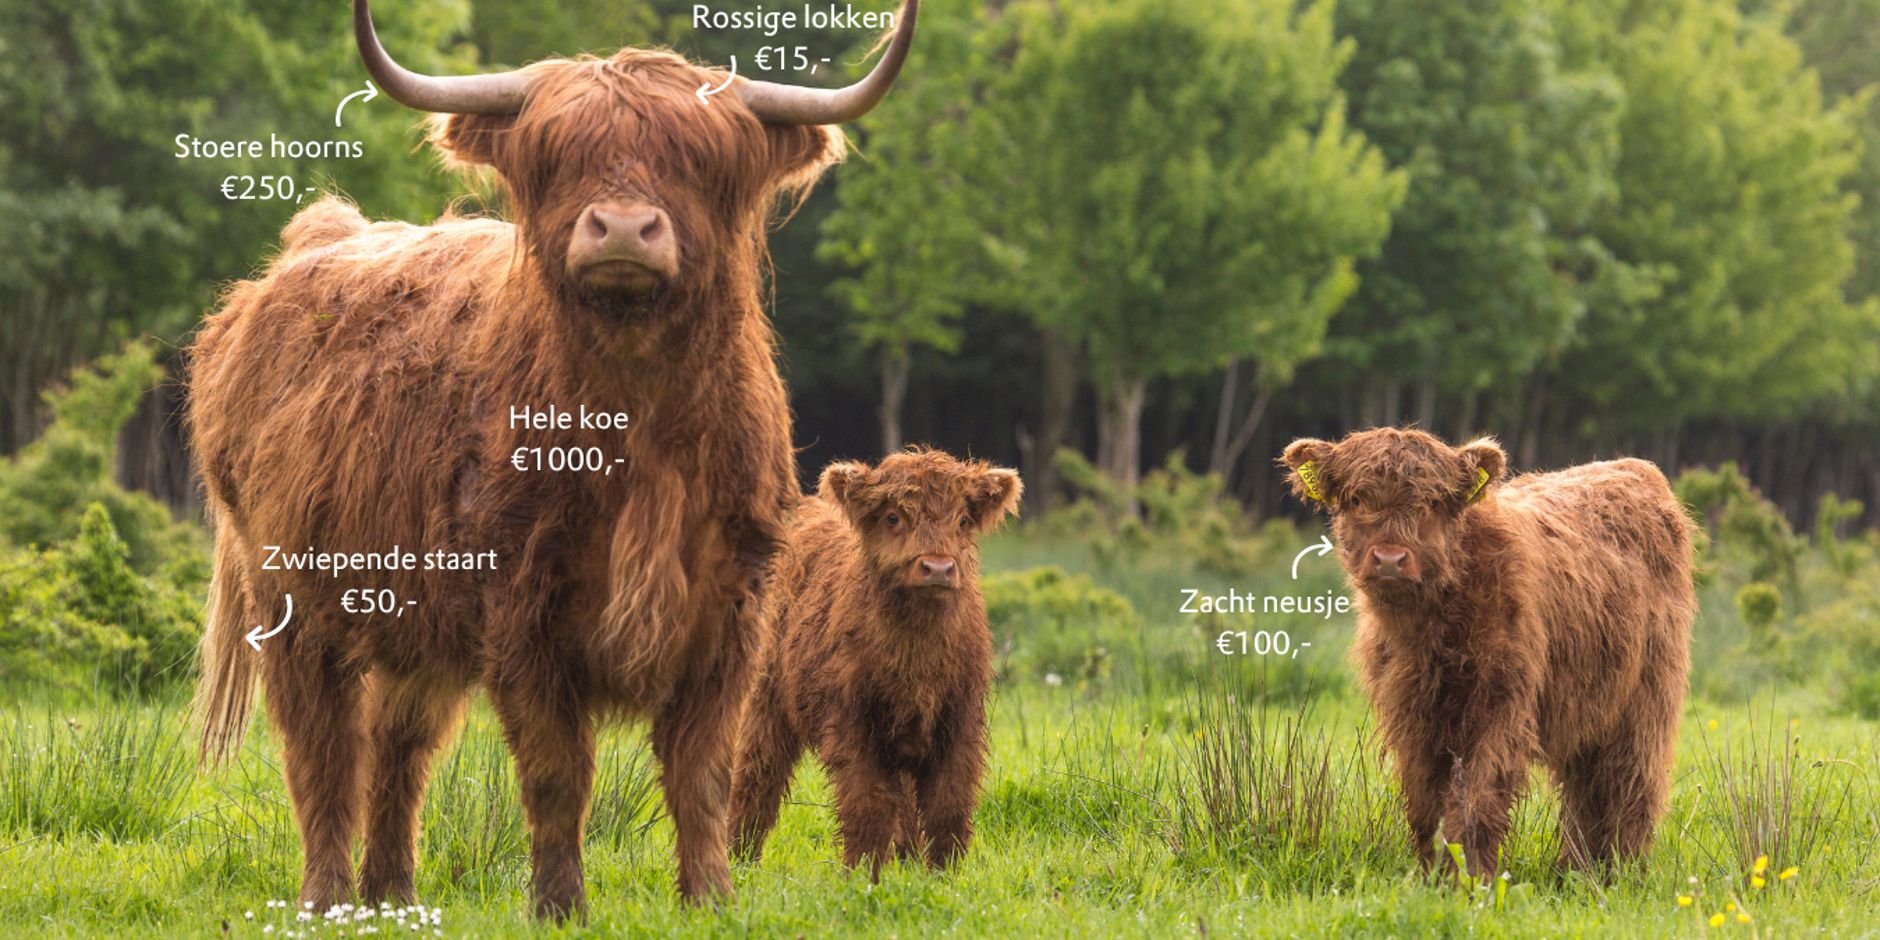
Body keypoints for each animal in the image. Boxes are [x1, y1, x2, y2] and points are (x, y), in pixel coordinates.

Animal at [188, 0, 919, 920]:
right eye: (558, 155)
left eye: (699, 159)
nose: (623, 229)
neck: (636, 422)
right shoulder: (521, 605)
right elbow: (556, 771)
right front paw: (560, 906)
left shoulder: (731, 609)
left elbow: (702, 774)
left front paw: (710, 898)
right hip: (293, 597)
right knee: (322, 749)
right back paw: (328, 899)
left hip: (412, 620)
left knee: (398, 743)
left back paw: (392, 893)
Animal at [727, 450, 1020, 876]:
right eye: (893, 517)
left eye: (963, 520)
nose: (937, 568)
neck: (916, 656)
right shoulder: (853, 728)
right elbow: (867, 807)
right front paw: (864, 873)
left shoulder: (959, 723)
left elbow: (948, 806)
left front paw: (944, 873)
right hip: (766, 702)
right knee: (756, 777)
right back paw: (740, 858)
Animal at [1279, 428, 1694, 878]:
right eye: (1357, 499)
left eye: (1433, 501)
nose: (1390, 558)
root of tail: (1631, 467)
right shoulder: (1412, 715)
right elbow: (1425, 805)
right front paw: (1432, 875)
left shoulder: (1499, 707)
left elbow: (1476, 801)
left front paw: (1470, 877)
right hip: (1587, 702)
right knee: (1585, 788)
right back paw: (1576, 872)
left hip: (1646, 698)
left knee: (1631, 779)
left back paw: (1622, 870)